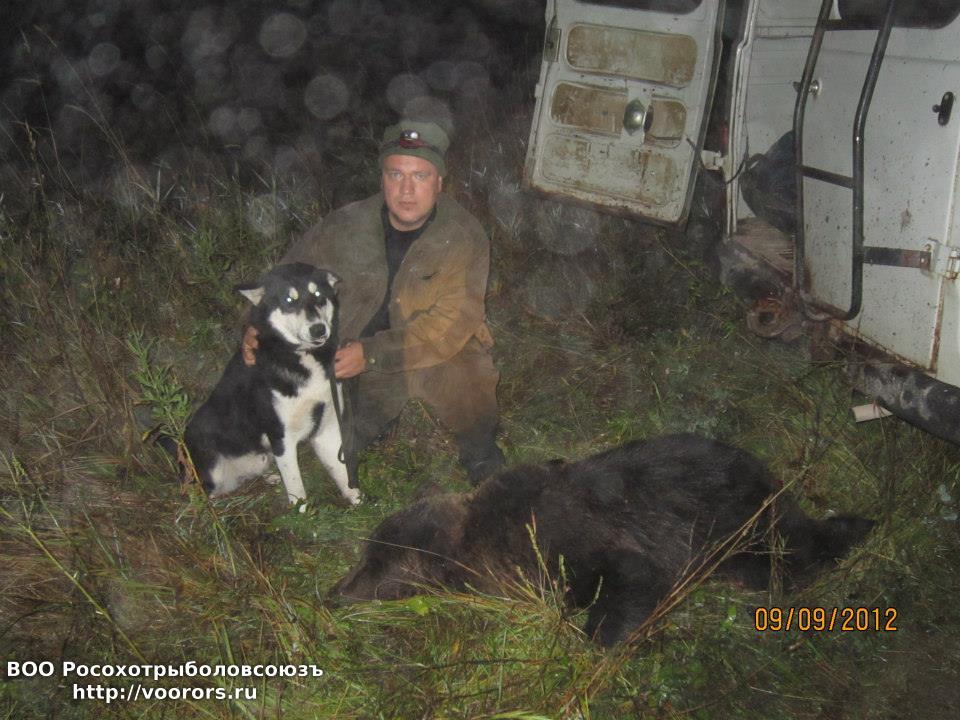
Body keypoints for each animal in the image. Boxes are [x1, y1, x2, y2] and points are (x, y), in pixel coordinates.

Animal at [183, 262, 360, 508]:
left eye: (318, 295)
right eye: (289, 300)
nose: (318, 329)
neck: (300, 356)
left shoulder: (328, 426)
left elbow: (342, 470)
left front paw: (357, 500)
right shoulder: (281, 438)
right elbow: (297, 489)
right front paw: (303, 514)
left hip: (259, 457)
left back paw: (269, 477)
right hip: (213, 467)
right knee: (210, 495)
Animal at [330, 434, 874, 646]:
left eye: (376, 566)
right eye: (366, 555)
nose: (333, 593)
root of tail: (770, 478)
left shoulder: (581, 541)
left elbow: (630, 577)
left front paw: (605, 636)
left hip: (741, 521)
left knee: (786, 555)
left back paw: (852, 530)